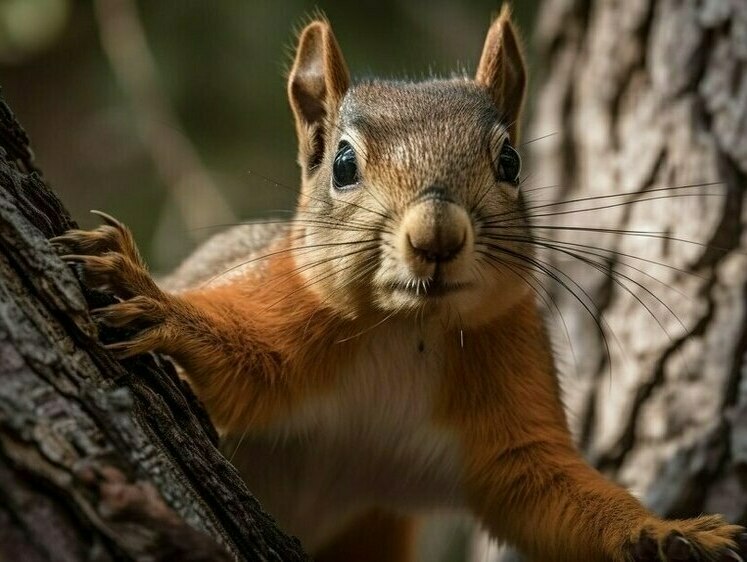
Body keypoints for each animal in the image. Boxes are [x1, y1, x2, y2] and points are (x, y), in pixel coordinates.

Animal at [55, 7, 747, 560]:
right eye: (342, 164)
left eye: (511, 162)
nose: (436, 236)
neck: (407, 329)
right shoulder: (283, 313)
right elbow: (240, 366)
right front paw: (153, 298)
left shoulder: (506, 403)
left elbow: (544, 492)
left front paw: (669, 532)